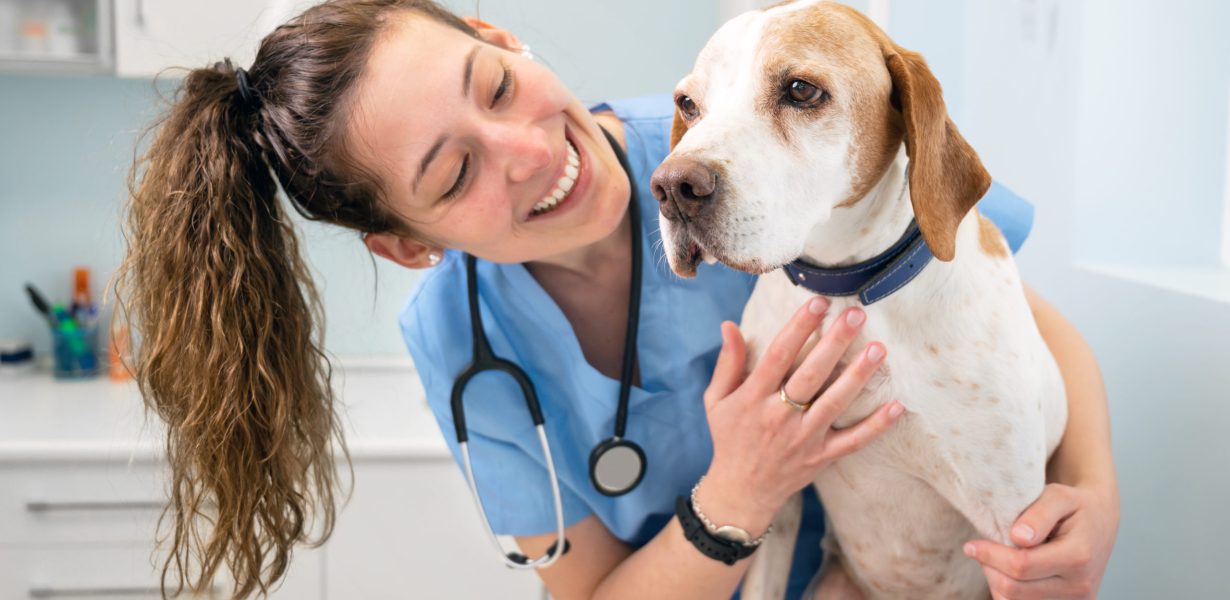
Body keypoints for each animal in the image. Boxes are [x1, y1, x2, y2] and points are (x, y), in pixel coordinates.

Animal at [654, 2, 1067, 597]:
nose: (671, 188)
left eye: (801, 90)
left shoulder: (1016, 539)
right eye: (688, 104)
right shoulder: (773, 500)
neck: (848, 291)